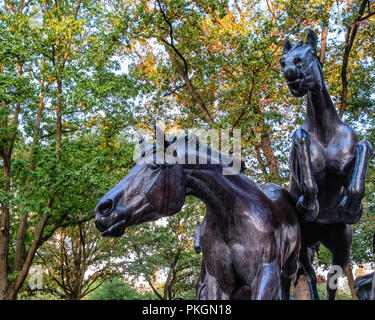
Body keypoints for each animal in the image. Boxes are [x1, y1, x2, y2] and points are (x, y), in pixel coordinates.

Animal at [95, 134, 302, 298]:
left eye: (154, 166)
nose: (102, 210)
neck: (233, 216)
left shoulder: (265, 274)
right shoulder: (218, 283)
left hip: (287, 270)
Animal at [282, 30, 374, 300]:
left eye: (310, 54)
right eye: (283, 61)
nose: (290, 73)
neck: (324, 131)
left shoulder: (349, 165)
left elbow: (365, 146)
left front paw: (350, 208)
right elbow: (299, 139)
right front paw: (310, 206)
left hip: (341, 245)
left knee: (332, 279)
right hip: (302, 246)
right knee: (309, 276)